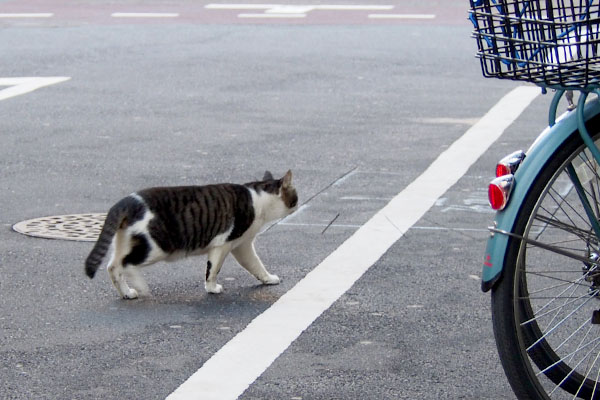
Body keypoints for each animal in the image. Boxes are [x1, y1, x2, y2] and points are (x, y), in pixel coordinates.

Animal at [83, 170, 298, 298]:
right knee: (127, 264)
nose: (297, 205)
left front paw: (268, 279)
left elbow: (256, 265)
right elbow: (213, 269)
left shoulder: (242, 245)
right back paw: (141, 286)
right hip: (157, 247)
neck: (258, 198)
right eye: (295, 196)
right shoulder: (223, 244)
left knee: (113, 266)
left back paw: (127, 292)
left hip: (126, 243)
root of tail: (126, 201)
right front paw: (212, 288)